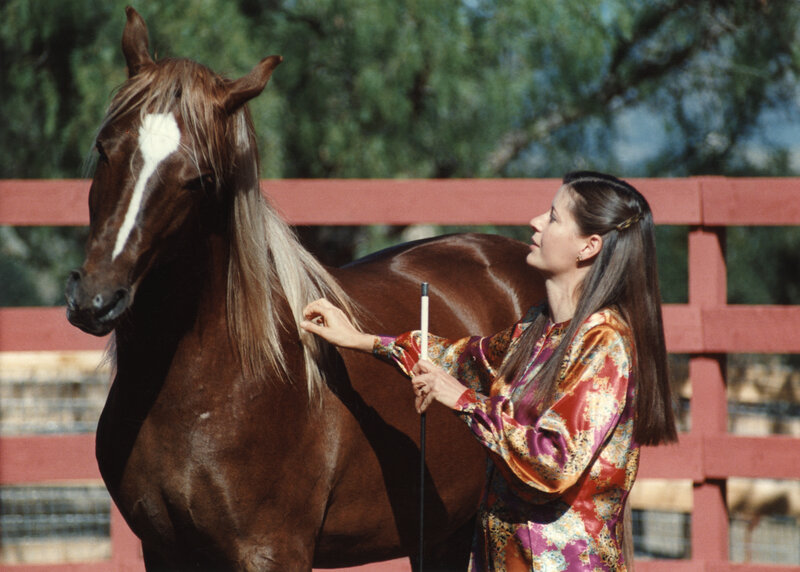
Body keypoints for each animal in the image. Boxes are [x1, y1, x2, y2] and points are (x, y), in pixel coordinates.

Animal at [65, 7, 544, 570]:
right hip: (443, 532)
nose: (97, 299)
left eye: (199, 179)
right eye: (105, 148)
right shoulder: (162, 550)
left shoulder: (272, 550)